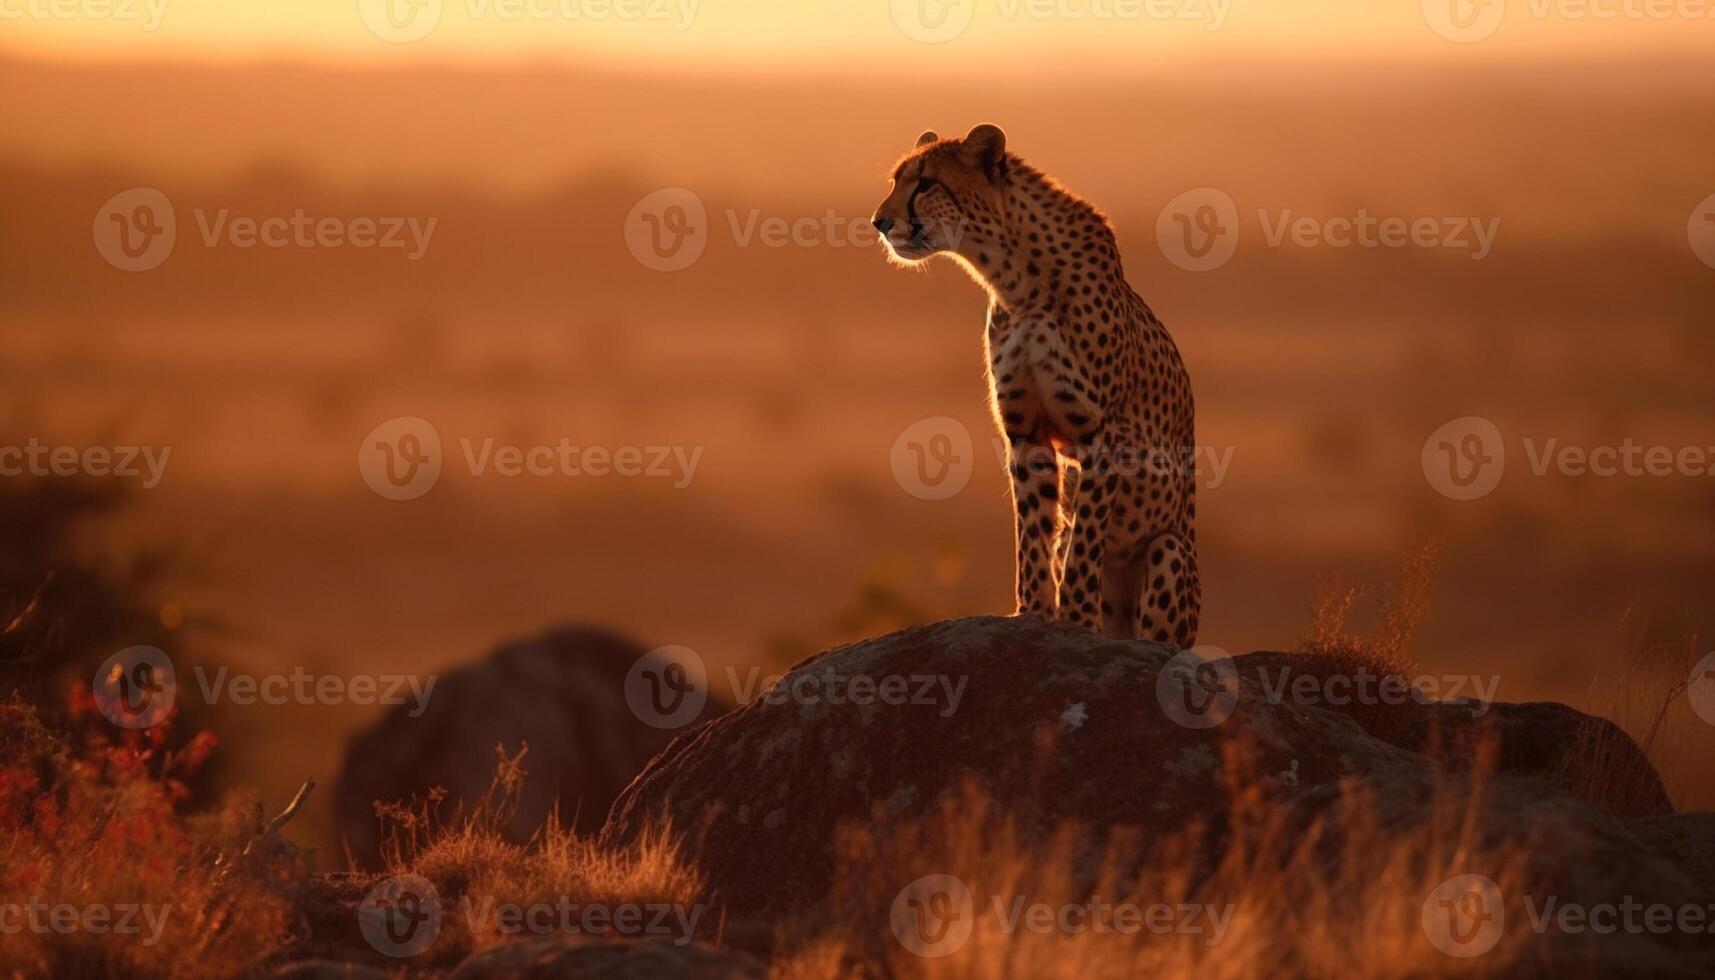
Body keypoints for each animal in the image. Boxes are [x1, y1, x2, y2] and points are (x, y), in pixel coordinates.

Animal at [871, 122, 1207, 648]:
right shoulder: (1026, 431)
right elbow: (1032, 531)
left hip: (1170, 550)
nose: (880, 222)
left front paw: (1076, 618)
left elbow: (1084, 545)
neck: (1015, 279)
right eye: (896, 180)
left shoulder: (1100, 434)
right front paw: (1031, 612)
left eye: (926, 183)